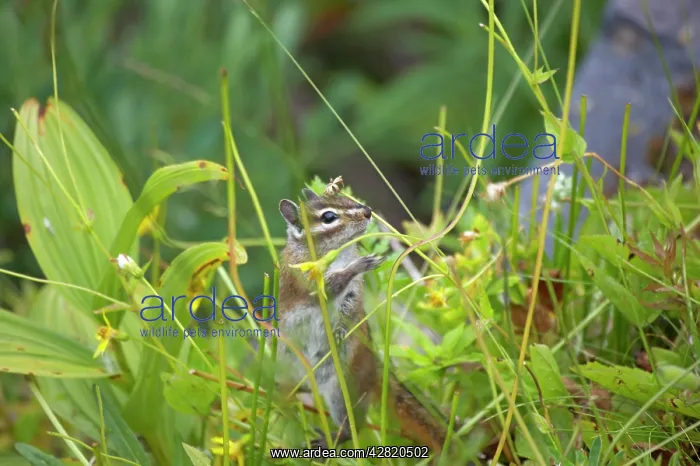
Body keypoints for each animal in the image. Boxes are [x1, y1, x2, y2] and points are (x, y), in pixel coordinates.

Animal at [276, 187, 448, 453]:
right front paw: (360, 264)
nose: (367, 211)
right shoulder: (304, 276)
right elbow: (327, 287)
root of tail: (375, 369)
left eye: (346, 198)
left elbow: (349, 303)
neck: (335, 255)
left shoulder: (352, 293)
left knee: (354, 427)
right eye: (328, 217)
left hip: (341, 390)